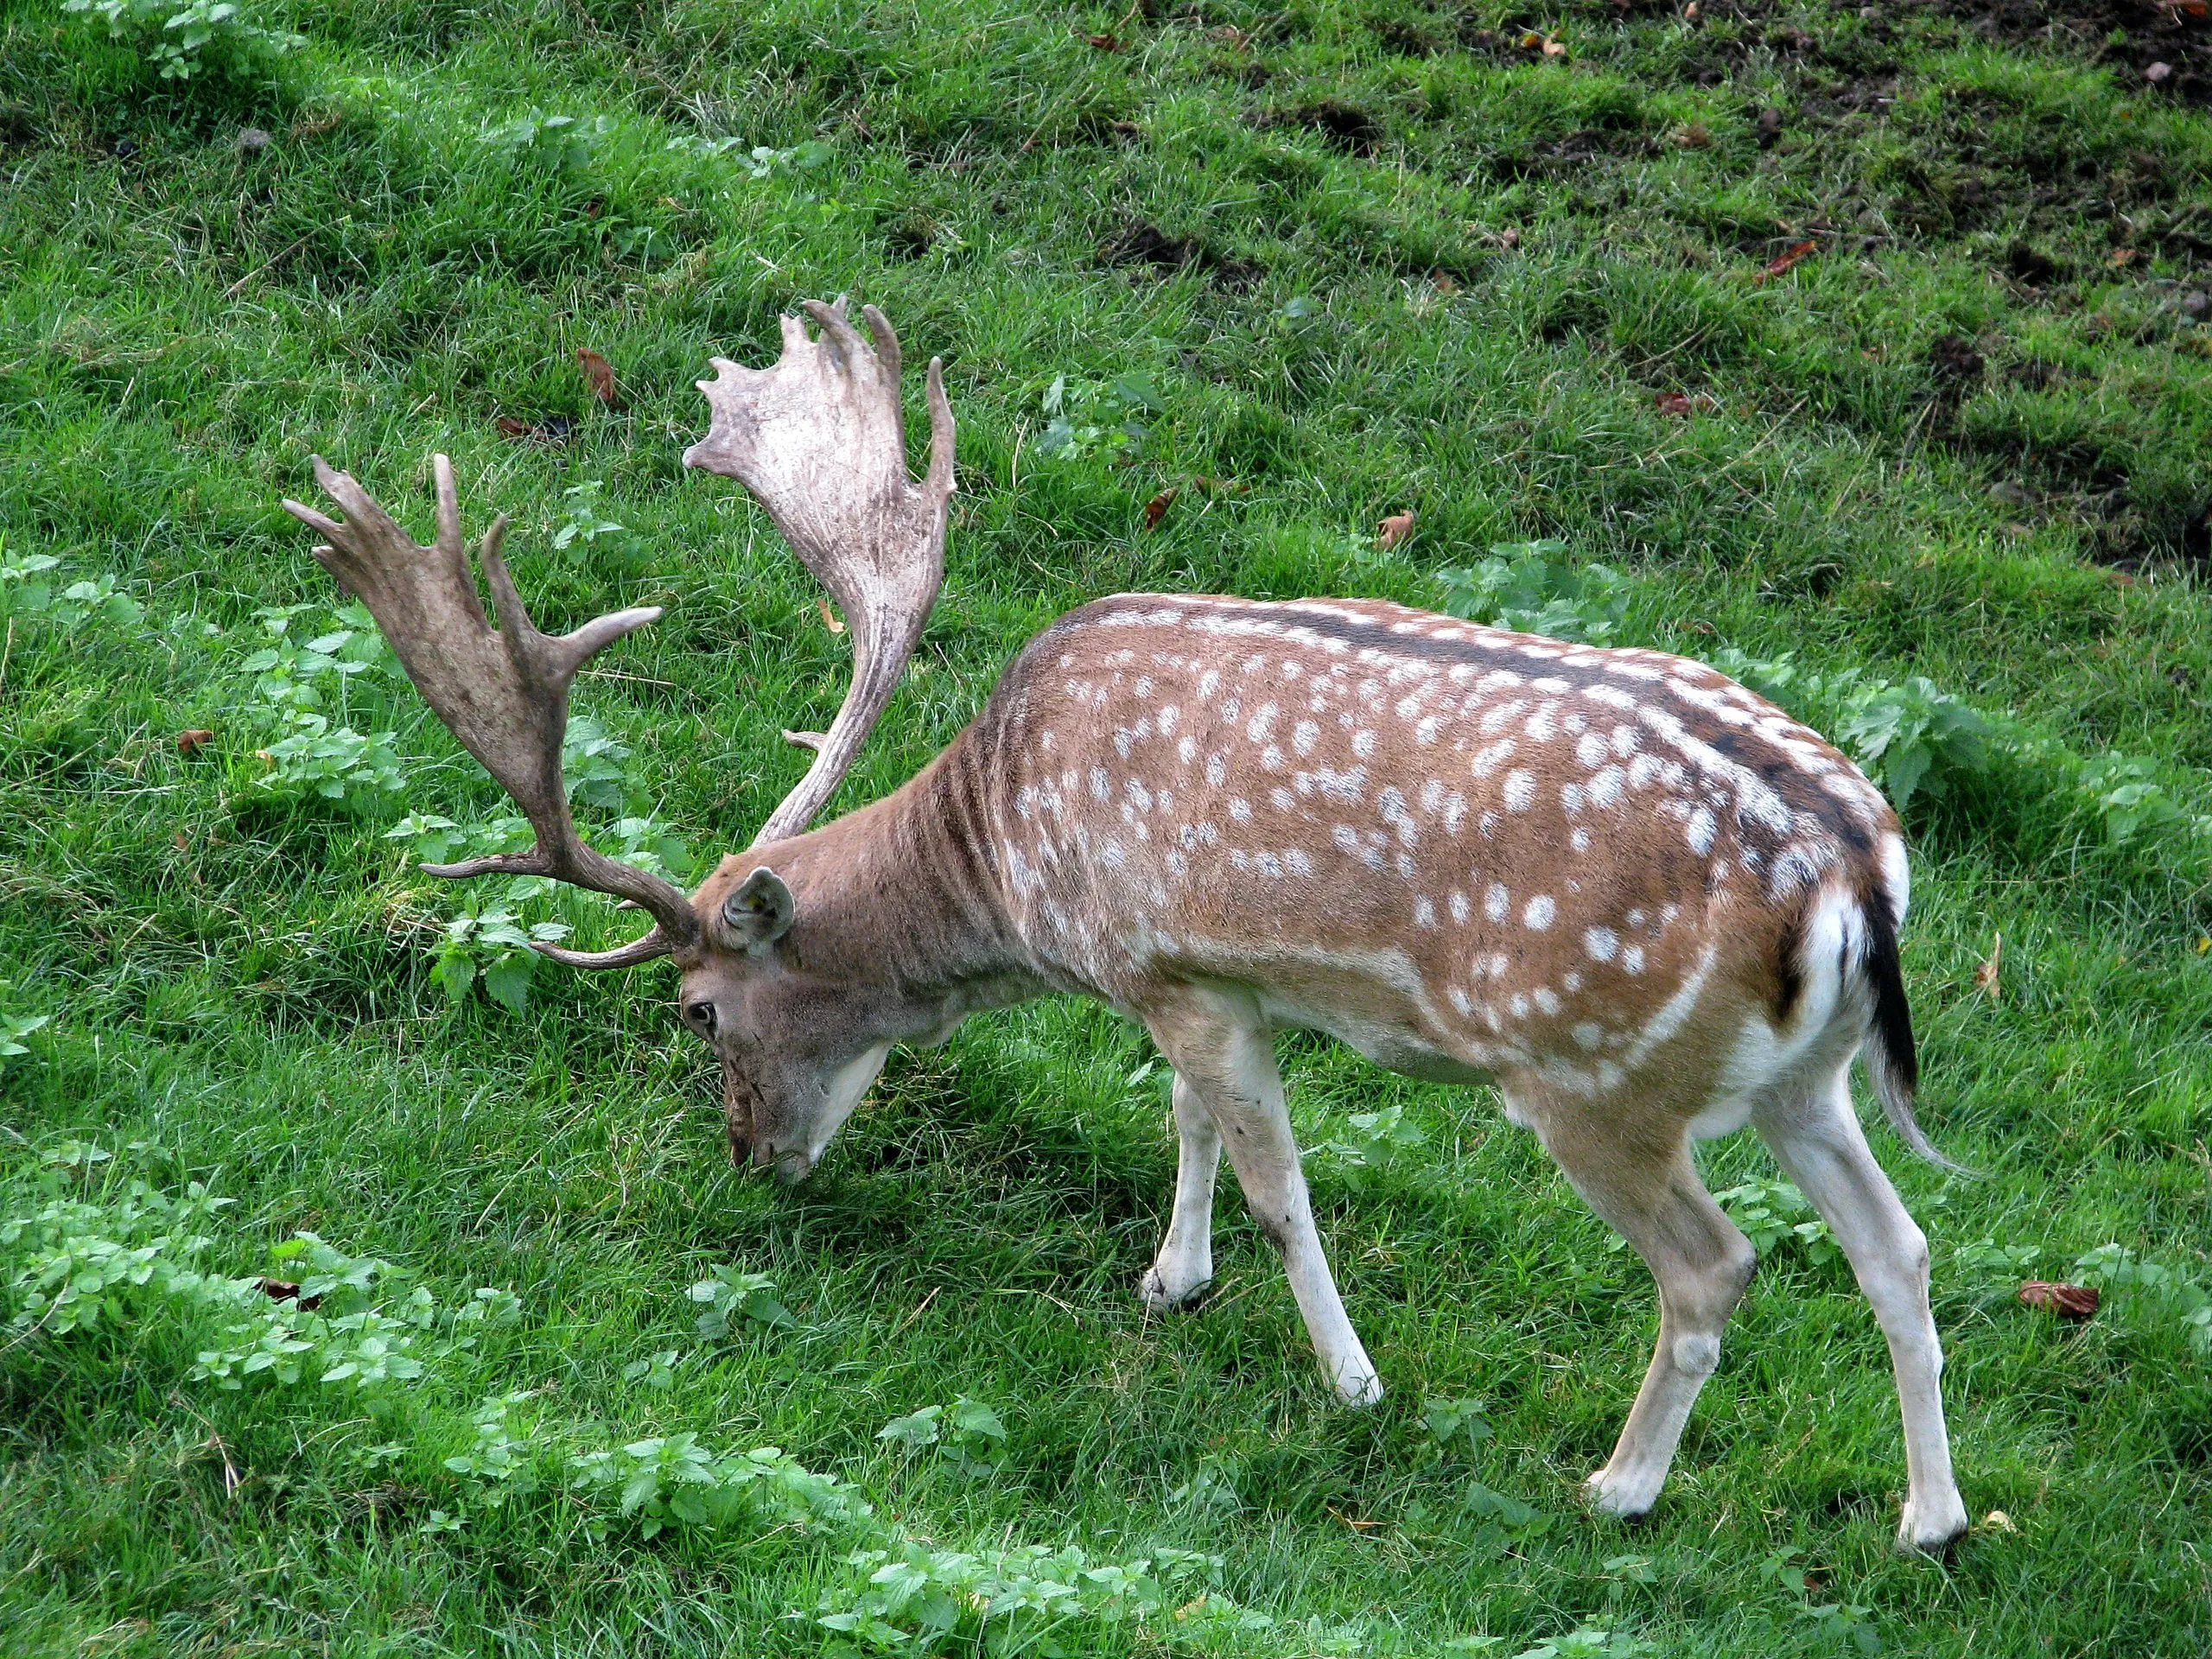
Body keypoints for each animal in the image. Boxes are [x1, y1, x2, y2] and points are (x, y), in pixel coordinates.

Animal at [289, 298, 1973, 1557]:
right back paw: (1933, 1518)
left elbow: (1281, 1184)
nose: (753, 1156)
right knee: (1901, 1245)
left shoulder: (1180, 971)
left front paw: (1348, 1381)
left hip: (1599, 1077)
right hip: (1803, 1077)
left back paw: (1619, 1485)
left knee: (1717, 1266)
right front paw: (1172, 1278)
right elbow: (1190, 1123)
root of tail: (1854, 879)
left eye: (701, 1011)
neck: (1016, 860)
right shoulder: (1191, 977)